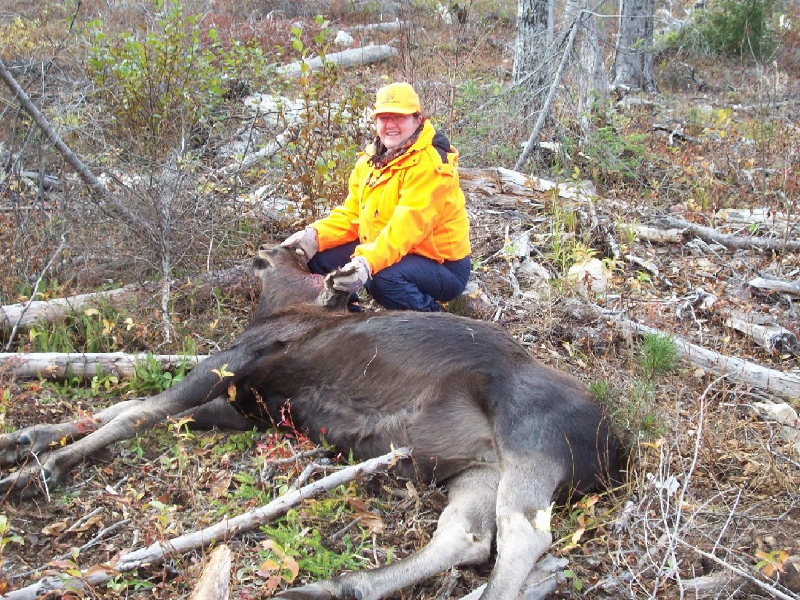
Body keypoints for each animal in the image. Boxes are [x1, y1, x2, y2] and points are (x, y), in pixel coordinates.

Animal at [0, 244, 619, 600]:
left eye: (297, 259)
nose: (262, 249)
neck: (276, 310)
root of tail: (620, 448)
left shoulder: (233, 362)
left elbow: (138, 411)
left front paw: (43, 468)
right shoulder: (238, 404)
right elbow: (118, 408)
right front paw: (21, 440)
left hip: (530, 440)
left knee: (524, 533)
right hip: (477, 466)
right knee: (464, 537)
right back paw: (335, 587)